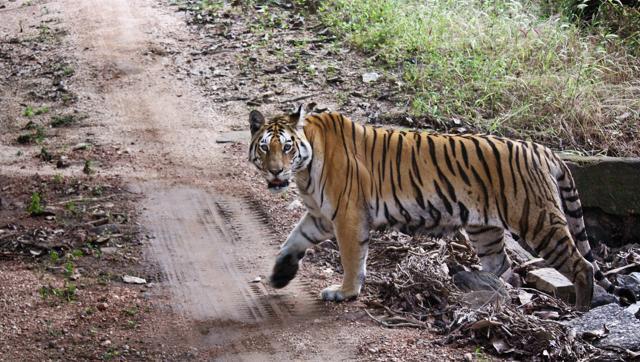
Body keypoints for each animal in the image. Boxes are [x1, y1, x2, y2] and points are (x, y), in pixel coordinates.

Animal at [248, 105, 628, 312]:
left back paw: (580, 311)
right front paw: (279, 275)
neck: (305, 166)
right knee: (506, 271)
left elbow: (353, 260)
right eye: (265, 148)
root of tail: (540, 148)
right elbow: (293, 239)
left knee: (582, 266)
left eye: (286, 147)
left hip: (538, 221)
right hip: (485, 231)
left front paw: (345, 293)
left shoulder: (348, 217)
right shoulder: (322, 216)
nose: (276, 172)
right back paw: (494, 300)